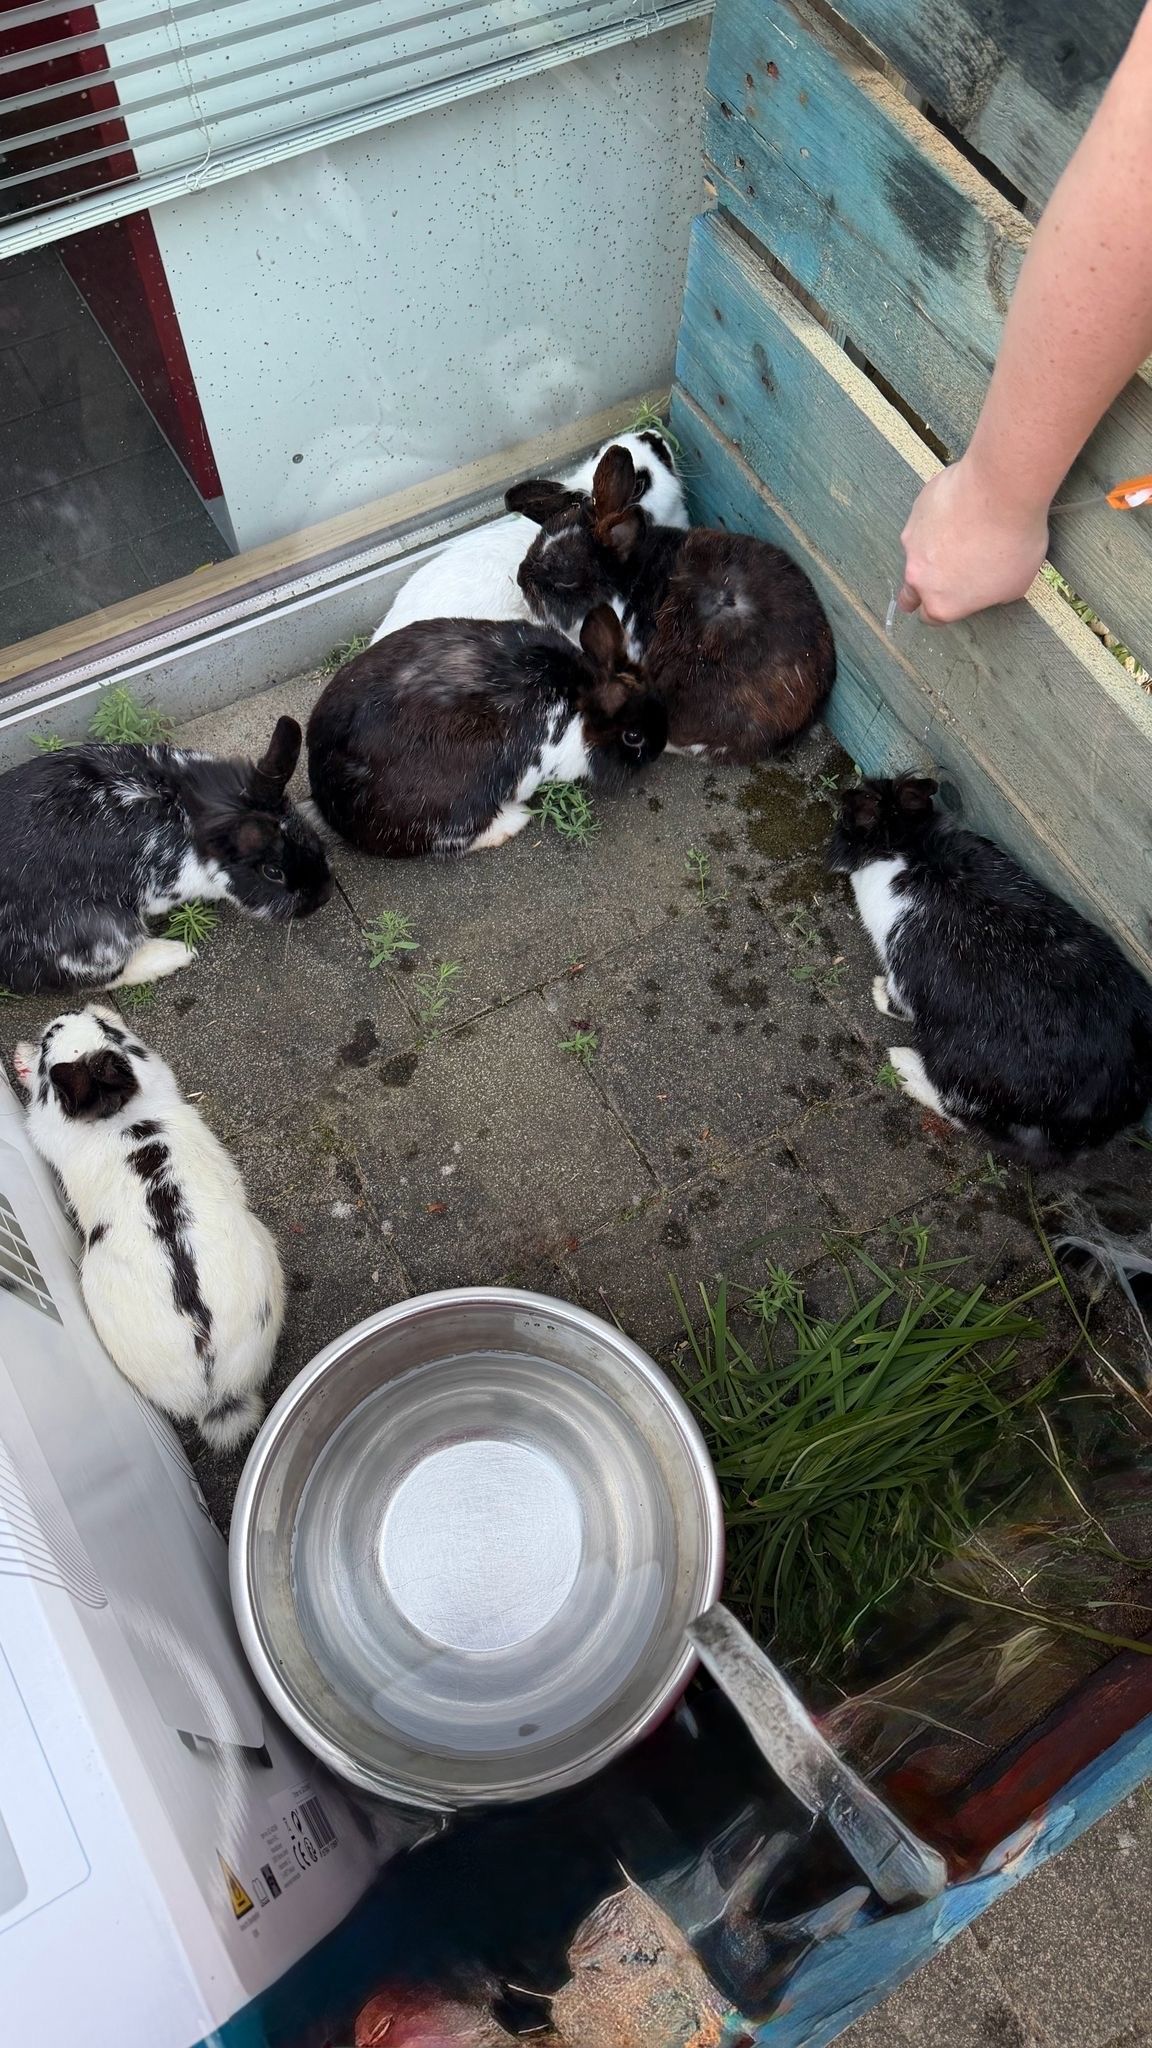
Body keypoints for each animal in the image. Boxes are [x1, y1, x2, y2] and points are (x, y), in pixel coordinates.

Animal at [0, 716, 332, 995]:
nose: (323, 897)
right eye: (273, 872)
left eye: (308, 835)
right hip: (103, 931)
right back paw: (176, 954)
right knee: (95, 979)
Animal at [12, 1006, 285, 1451]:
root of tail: (215, 1386)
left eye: (50, 1056)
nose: (68, 1014)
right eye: (111, 1032)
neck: (122, 1118)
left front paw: (20, 1057)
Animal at [307, 604, 667, 857]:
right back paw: (514, 820)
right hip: (460, 797)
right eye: (633, 737)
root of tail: (327, 799)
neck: (577, 699)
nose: (659, 749)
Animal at [829, 776, 1152, 1156]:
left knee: (965, 1114)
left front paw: (879, 994)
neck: (910, 849)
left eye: (846, 820)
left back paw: (905, 1066)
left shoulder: (904, 969)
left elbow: (898, 1000)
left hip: (957, 1060)